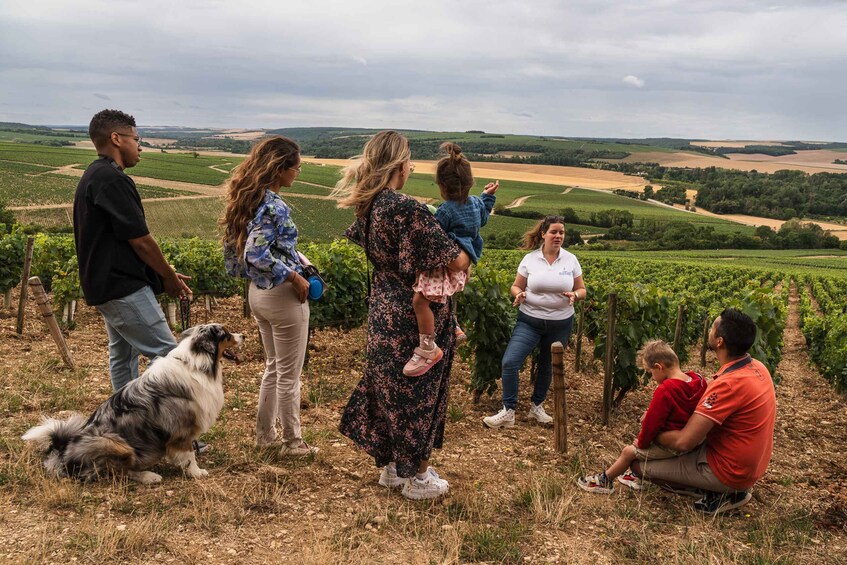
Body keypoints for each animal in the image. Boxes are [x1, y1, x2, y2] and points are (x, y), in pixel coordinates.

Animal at [20, 324, 245, 482]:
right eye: (226, 334)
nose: (243, 335)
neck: (195, 364)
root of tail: (63, 452)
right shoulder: (182, 427)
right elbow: (189, 455)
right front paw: (196, 472)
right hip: (114, 443)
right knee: (119, 472)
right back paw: (149, 476)